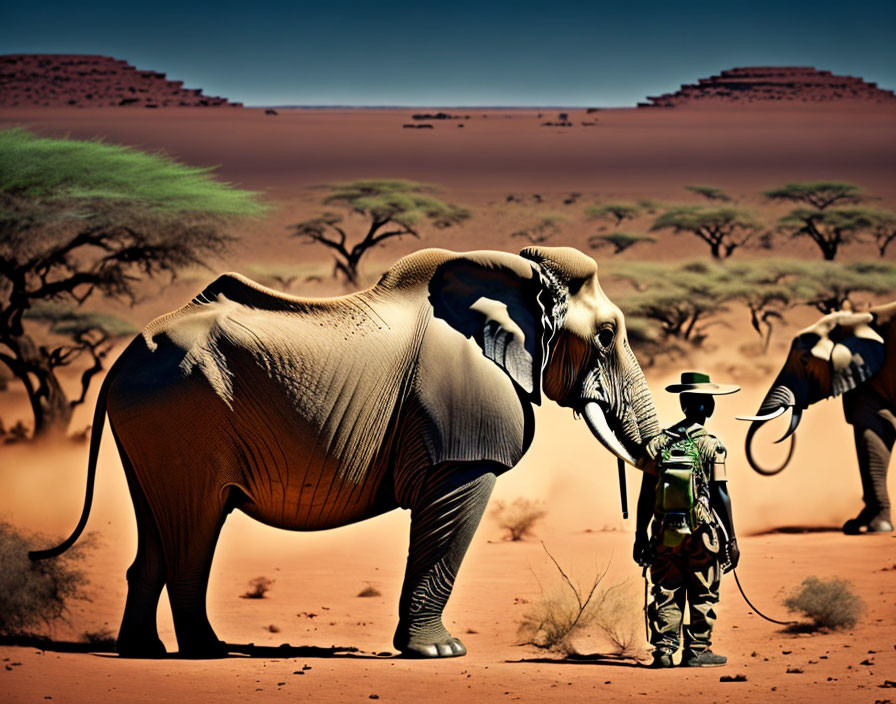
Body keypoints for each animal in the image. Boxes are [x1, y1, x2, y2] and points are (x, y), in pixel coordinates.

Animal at [29, 248, 656, 660]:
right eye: (606, 335)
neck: (522, 280)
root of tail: (125, 353)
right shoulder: (461, 422)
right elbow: (452, 516)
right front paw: (442, 654)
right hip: (181, 413)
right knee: (195, 525)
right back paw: (209, 653)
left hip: (151, 424)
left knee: (156, 524)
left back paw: (144, 653)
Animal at [744, 302, 896, 532]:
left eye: (804, 360)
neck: (856, 319)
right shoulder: (865, 370)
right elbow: (872, 427)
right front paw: (859, 526)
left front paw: (878, 527)